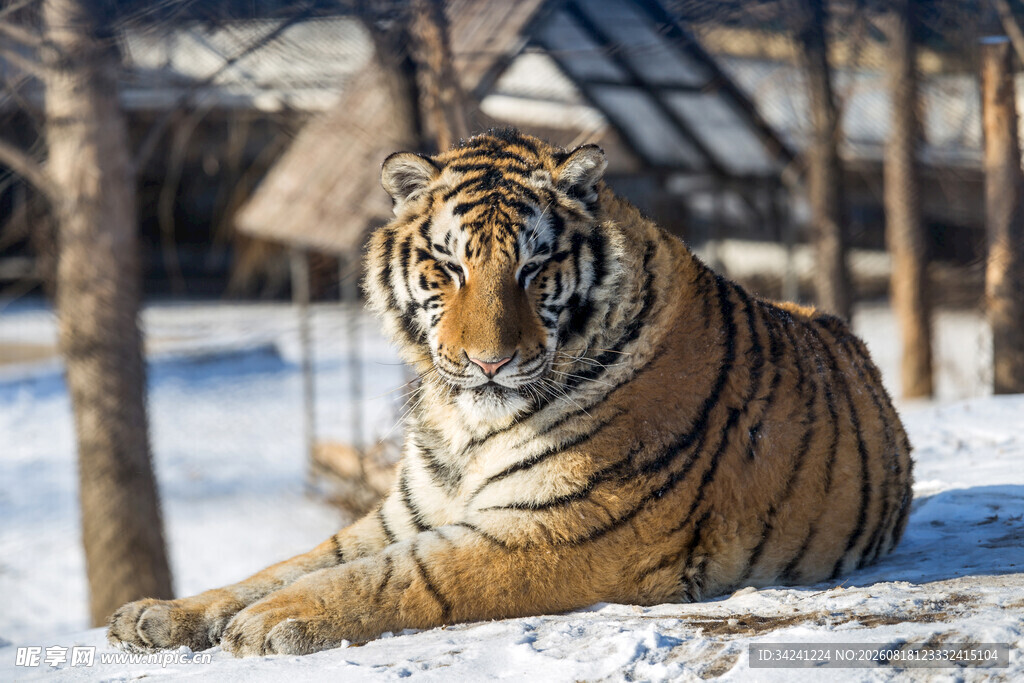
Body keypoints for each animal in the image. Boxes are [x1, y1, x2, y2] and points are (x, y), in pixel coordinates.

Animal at [108, 128, 913, 657]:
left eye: (534, 269)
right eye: (448, 267)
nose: (488, 362)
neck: (464, 421)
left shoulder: (562, 527)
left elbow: (403, 576)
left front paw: (272, 620)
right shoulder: (399, 516)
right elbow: (283, 564)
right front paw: (159, 614)